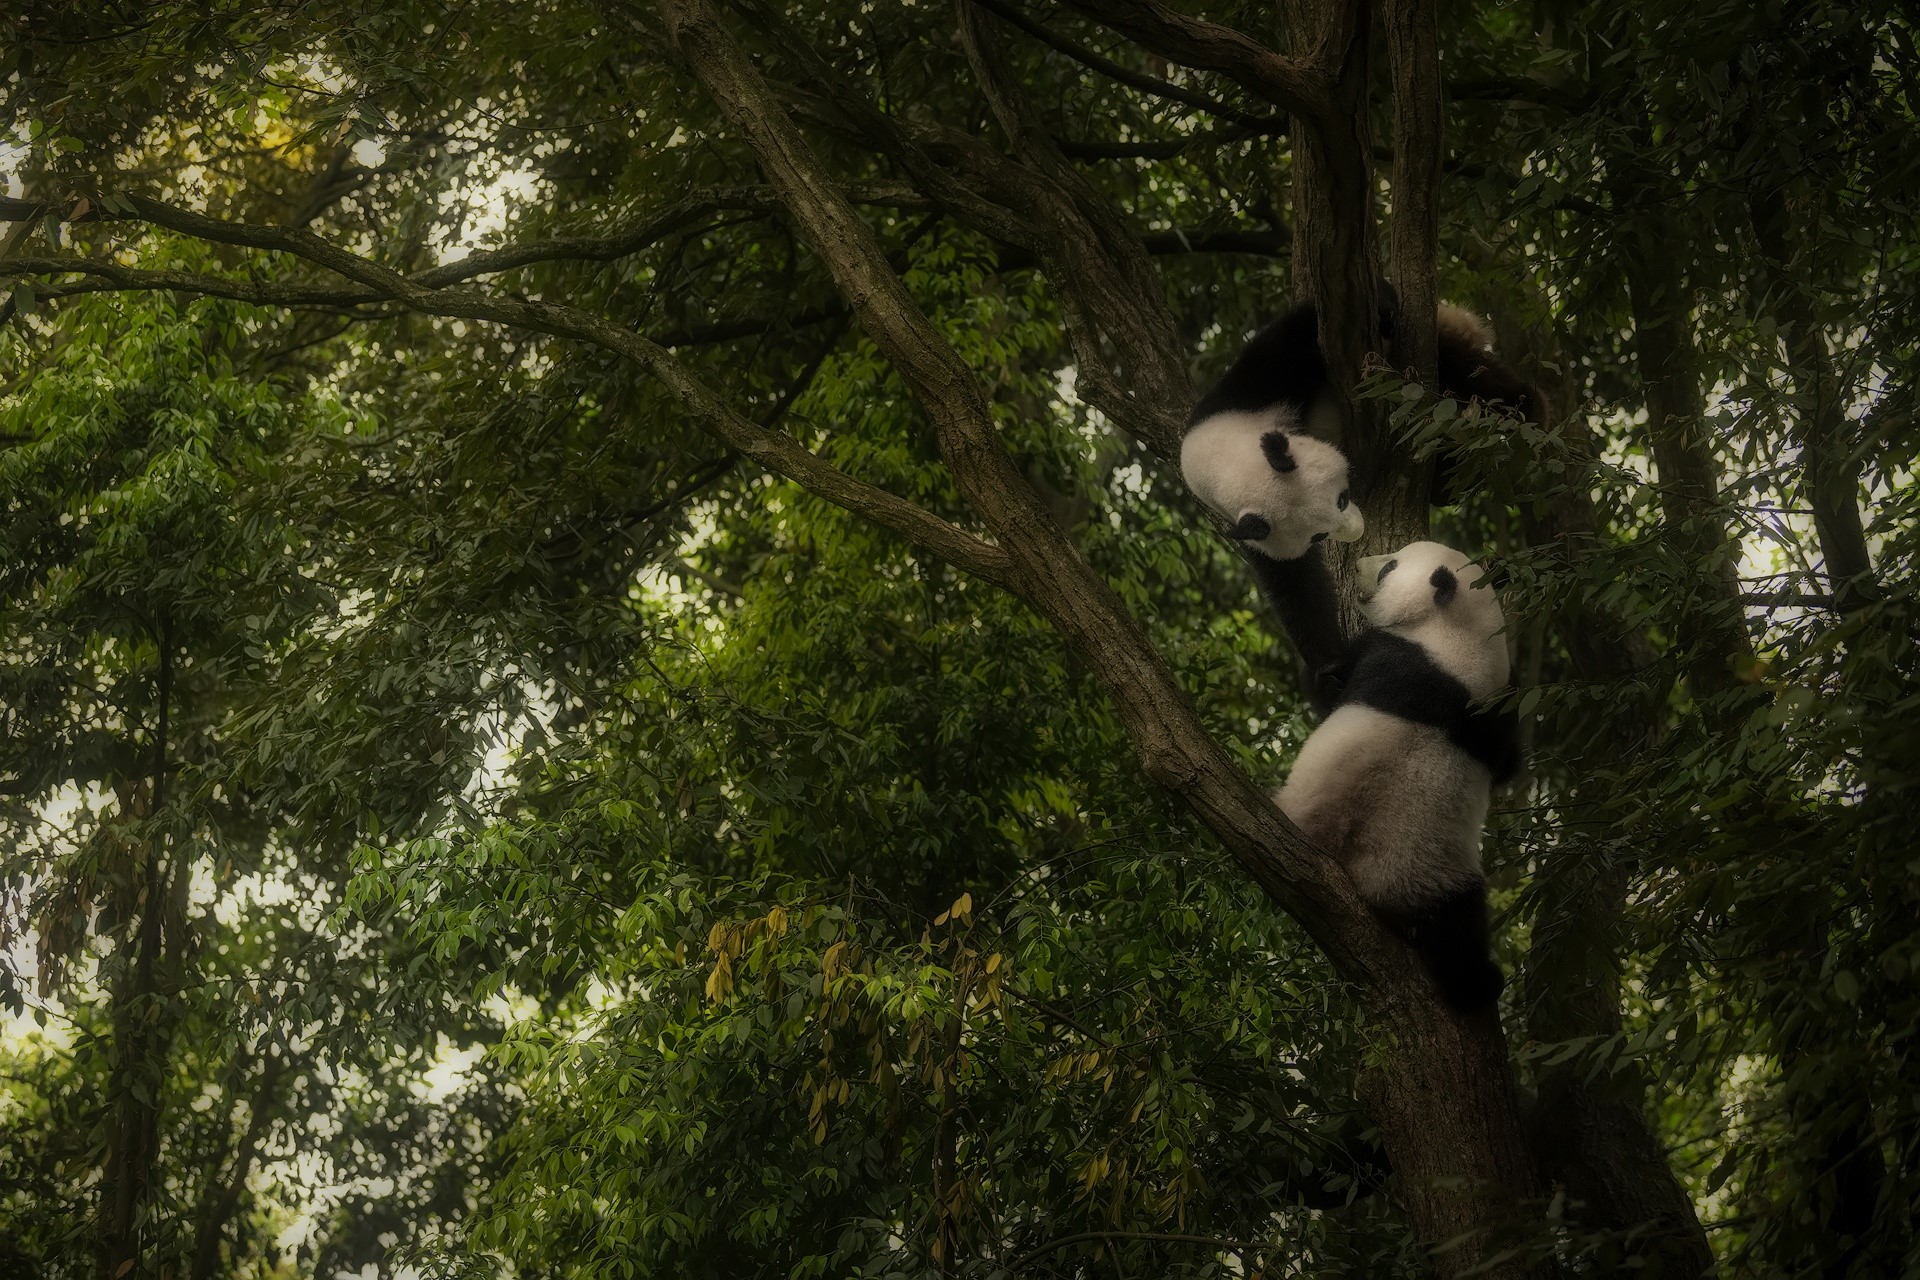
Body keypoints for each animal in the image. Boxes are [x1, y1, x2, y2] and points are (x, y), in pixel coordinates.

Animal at [1274, 540, 1521, 1012]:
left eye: (1389, 566)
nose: (1356, 565)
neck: (1459, 634)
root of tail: (1368, 883)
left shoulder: (1388, 652)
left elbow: (1331, 692)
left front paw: (1323, 676)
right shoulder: (1491, 714)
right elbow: (1507, 763)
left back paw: (1481, 984)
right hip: (1440, 876)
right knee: (1457, 927)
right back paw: (1477, 983)